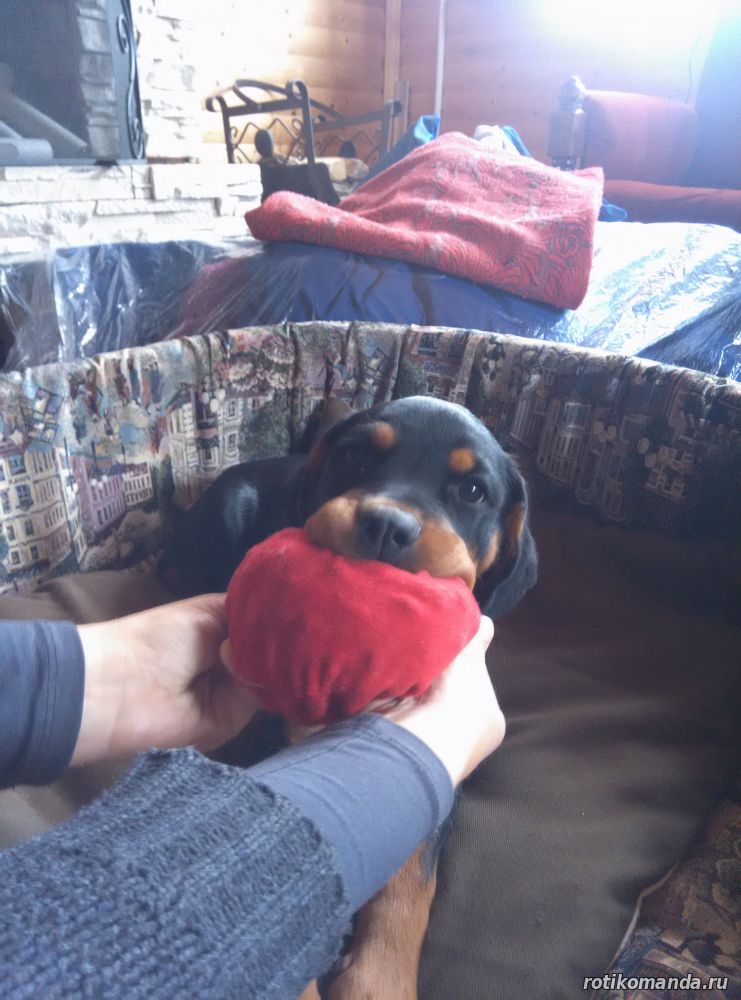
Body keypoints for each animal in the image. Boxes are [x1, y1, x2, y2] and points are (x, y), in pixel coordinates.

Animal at [164, 395, 537, 999]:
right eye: (355, 457)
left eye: (473, 491)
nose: (387, 523)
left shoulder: (432, 753)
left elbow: (412, 883)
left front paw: (378, 980)